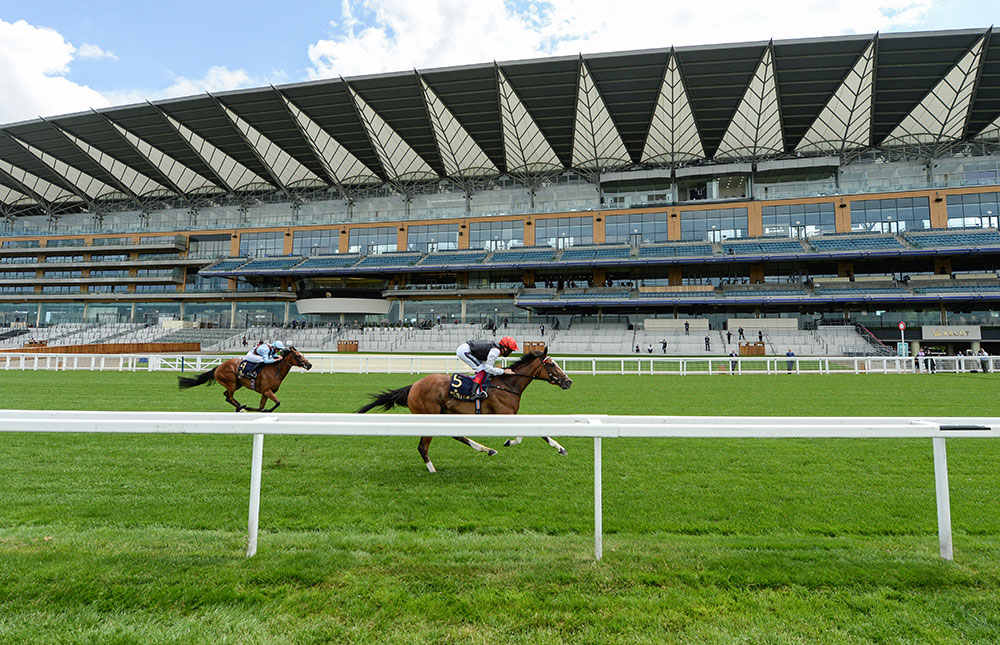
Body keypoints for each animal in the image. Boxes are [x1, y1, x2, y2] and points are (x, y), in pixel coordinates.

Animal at [178, 348, 312, 412]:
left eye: (303, 355)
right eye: (299, 355)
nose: (309, 365)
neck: (276, 370)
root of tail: (219, 366)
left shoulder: (265, 392)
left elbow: (261, 407)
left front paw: (262, 409)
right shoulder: (266, 390)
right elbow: (277, 402)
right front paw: (265, 410)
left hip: (237, 384)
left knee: (226, 395)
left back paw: (240, 407)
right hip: (231, 383)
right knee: (229, 397)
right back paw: (241, 407)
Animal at [356, 350, 576, 470]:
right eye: (552, 365)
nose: (568, 381)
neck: (507, 384)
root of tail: (414, 386)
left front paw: (559, 447)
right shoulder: (506, 414)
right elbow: (527, 433)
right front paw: (512, 441)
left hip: (445, 414)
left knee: (455, 436)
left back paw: (487, 450)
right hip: (429, 414)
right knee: (422, 446)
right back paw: (433, 470)